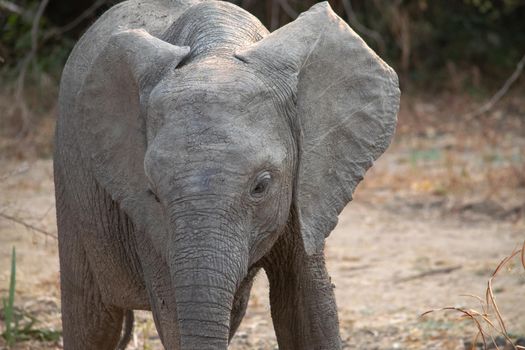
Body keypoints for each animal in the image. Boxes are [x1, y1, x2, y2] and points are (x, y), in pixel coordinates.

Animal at [52, 0, 398, 348]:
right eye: (154, 195)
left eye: (261, 186)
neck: (217, 50)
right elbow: (173, 316)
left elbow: (308, 308)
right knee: (91, 321)